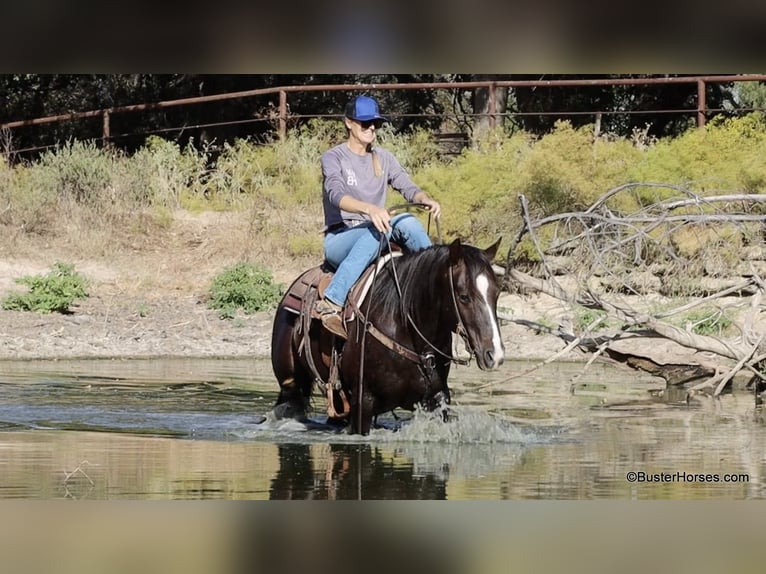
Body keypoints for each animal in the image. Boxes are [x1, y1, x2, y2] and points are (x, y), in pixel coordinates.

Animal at [270, 237, 505, 435]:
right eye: (464, 296)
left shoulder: (438, 401)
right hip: (290, 384)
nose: (495, 355)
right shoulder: (363, 403)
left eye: (496, 293)